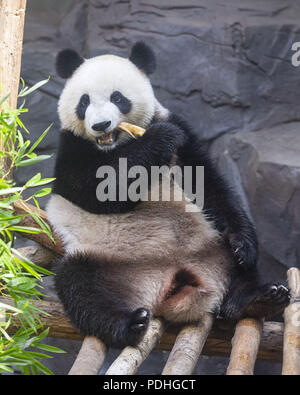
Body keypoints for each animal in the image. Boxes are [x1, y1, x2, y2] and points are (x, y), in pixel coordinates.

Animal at [47, 41, 290, 348]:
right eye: (84, 102)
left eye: (118, 97)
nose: (101, 125)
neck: (116, 145)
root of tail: (170, 281)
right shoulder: (70, 147)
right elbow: (98, 189)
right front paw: (159, 139)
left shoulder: (179, 131)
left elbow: (210, 185)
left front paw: (243, 242)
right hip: (104, 259)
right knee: (80, 287)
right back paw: (129, 323)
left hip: (210, 244)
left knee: (240, 272)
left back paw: (257, 298)